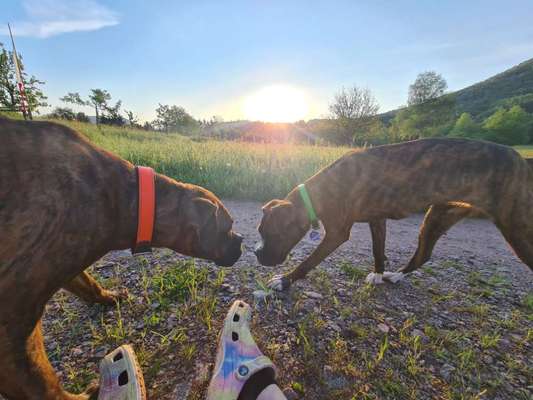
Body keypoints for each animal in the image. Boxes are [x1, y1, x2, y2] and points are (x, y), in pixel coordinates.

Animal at [0, 117, 242, 400]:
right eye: (228, 226)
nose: (241, 241)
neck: (131, 201)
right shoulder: (12, 318)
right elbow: (43, 384)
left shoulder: (66, 263)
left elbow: (88, 283)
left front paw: (108, 297)